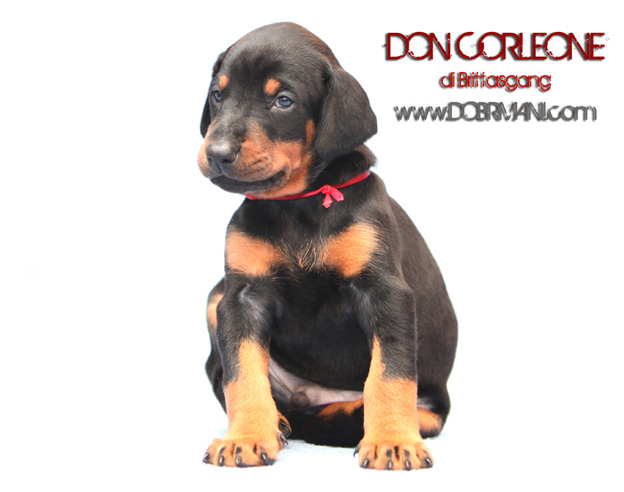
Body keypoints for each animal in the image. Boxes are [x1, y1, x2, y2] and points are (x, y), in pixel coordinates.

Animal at [197, 22, 457, 470]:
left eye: (283, 101)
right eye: (218, 95)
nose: (216, 154)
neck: (298, 203)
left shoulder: (384, 292)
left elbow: (391, 374)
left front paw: (392, 442)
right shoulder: (241, 297)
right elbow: (240, 374)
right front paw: (245, 437)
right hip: (215, 298)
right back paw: (280, 421)